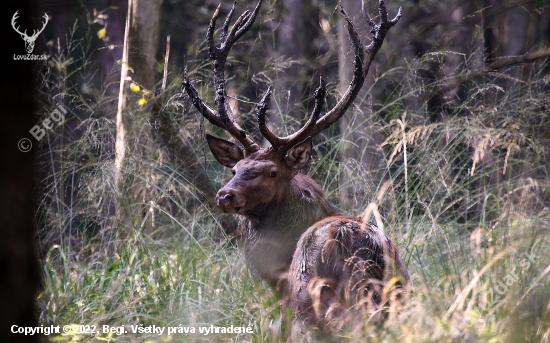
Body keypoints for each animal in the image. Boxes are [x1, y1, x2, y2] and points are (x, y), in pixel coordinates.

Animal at [183, 0, 412, 338]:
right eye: (235, 168)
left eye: (272, 172)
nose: (224, 195)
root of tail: (342, 236)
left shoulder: (288, 307)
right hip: (394, 295)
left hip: (313, 299)